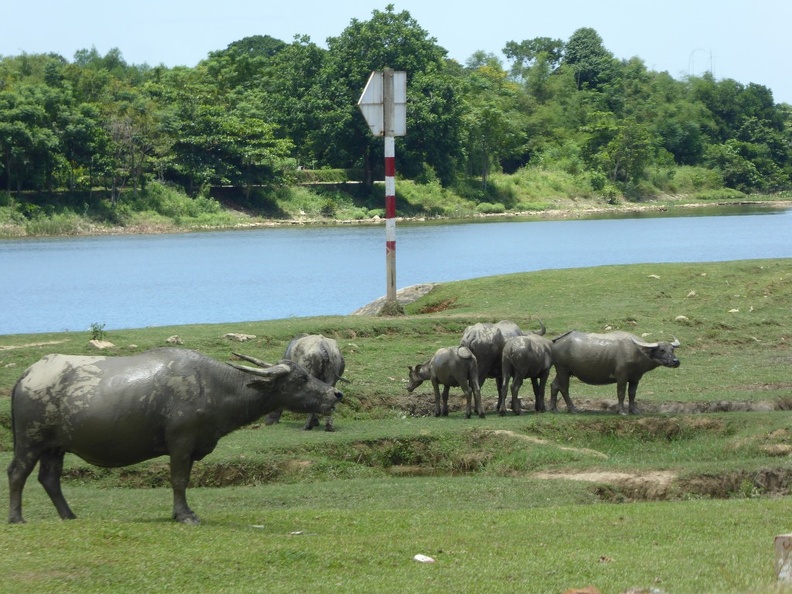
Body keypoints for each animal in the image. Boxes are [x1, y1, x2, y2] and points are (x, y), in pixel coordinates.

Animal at [7, 346, 344, 524]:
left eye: (308, 373)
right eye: (300, 379)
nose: (335, 394)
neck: (215, 387)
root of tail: (26, 376)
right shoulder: (181, 442)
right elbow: (179, 480)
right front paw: (185, 515)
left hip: (55, 447)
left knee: (49, 478)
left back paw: (69, 516)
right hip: (30, 440)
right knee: (17, 473)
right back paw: (16, 518)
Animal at [552, 330, 680, 414]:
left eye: (672, 349)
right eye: (661, 350)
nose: (676, 361)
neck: (638, 353)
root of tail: (557, 341)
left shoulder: (635, 378)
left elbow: (632, 394)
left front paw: (634, 410)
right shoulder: (622, 376)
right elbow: (621, 393)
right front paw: (621, 411)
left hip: (563, 371)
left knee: (554, 385)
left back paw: (553, 409)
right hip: (563, 369)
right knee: (564, 388)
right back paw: (573, 409)